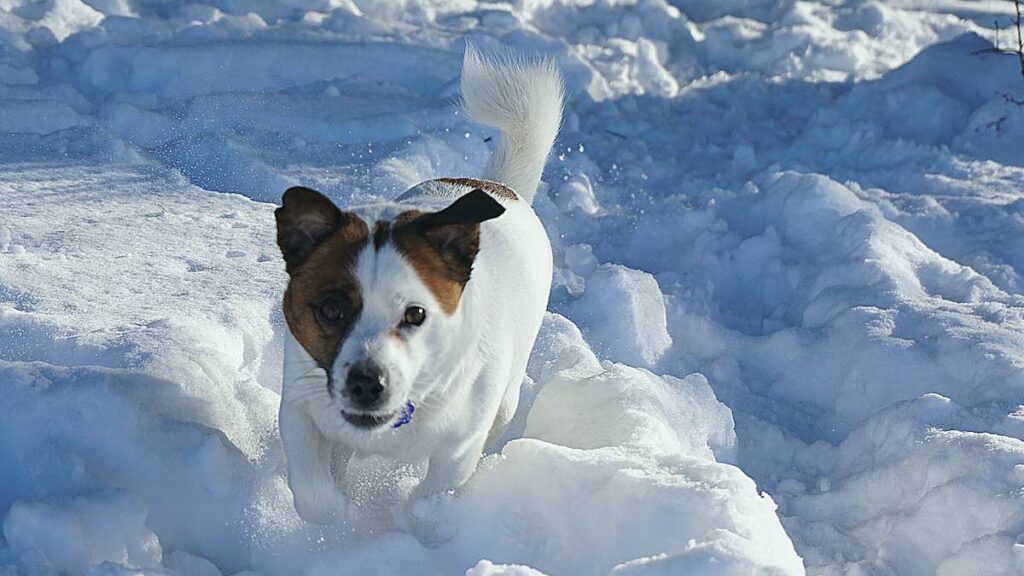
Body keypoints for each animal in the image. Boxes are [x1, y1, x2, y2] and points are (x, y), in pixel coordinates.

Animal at [274, 48, 561, 524]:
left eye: (416, 314)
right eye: (331, 310)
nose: (367, 384)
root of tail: (498, 186)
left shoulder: (460, 446)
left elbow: (434, 494)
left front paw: (415, 520)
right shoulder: (300, 405)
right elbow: (317, 493)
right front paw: (340, 521)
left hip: (505, 397)